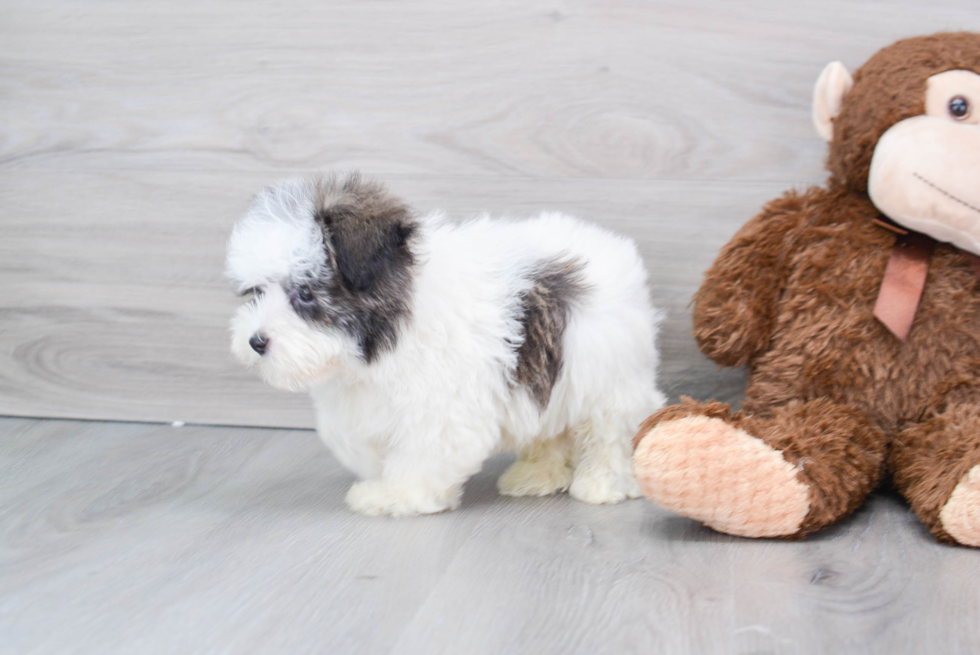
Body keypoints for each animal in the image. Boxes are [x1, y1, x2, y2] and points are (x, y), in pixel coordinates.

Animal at [228, 174, 668, 516]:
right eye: (256, 293)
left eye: (304, 294)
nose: (255, 341)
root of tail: (611, 247)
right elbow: (348, 438)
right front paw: (376, 473)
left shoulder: (439, 408)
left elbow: (422, 454)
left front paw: (395, 494)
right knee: (549, 428)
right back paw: (537, 474)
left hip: (605, 371)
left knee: (611, 427)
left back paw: (603, 483)